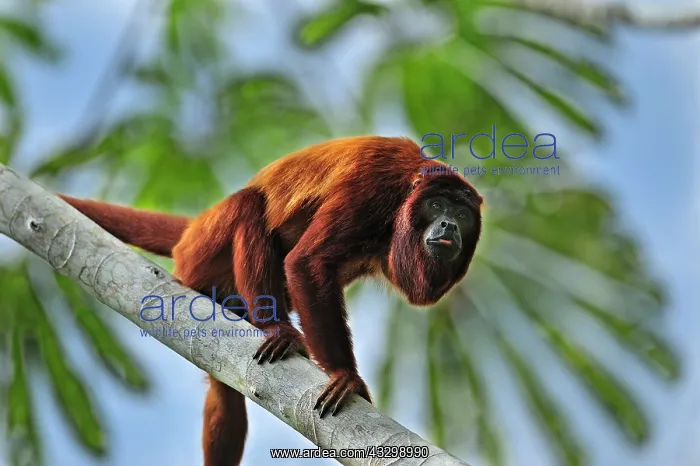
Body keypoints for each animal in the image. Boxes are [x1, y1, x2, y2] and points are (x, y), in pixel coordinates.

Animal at [58, 135, 484, 466]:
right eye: (437, 206)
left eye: (463, 215)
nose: (448, 224)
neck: (409, 188)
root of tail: (193, 228)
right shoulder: (371, 189)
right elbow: (307, 263)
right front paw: (345, 375)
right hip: (200, 253)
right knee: (249, 205)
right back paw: (273, 325)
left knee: (224, 391)